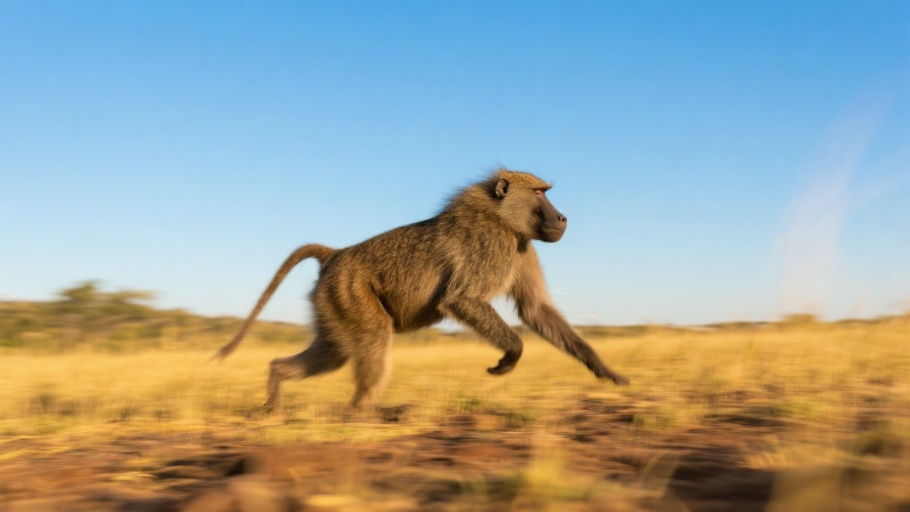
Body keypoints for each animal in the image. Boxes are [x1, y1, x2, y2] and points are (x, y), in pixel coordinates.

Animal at [213, 168, 629, 411]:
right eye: (540, 194)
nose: (562, 218)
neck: (499, 218)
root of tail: (337, 254)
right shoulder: (492, 246)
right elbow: (461, 298)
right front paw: (510, 356)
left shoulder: (522, 248)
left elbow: (535, 311)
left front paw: (604, 369)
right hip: (350, 293)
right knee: (373, 342)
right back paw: (365, 413)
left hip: (333, 302)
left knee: (333, 354)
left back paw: (276, 385)